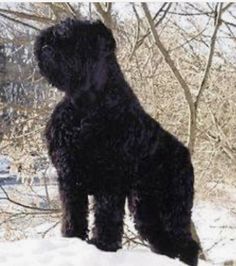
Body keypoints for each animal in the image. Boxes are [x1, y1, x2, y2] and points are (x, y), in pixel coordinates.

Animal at [33, 19, 199, 266]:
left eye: (73, 36)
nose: (45, 45)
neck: (85, 105)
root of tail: (186, 155)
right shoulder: (69, 177)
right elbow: (73, 213)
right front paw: (72, 238)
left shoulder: (110, 179)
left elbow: (106, 216)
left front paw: (103, 246)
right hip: (146, 208)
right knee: (165, 241)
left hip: (172, 207)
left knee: (187, 244)